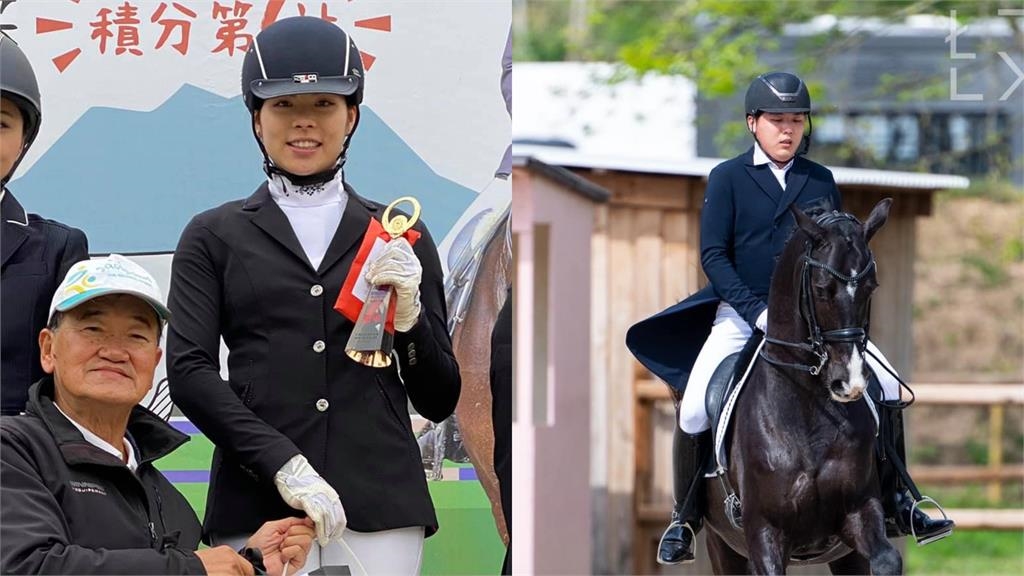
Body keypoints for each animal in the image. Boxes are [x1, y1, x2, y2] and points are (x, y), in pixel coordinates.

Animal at [702, 198, 901, 575]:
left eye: (871, 288)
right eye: (822, 288)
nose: (849, 382)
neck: (808, 409)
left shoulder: (859, 511)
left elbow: (888, 560)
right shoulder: (764, 532)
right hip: (722, 545)